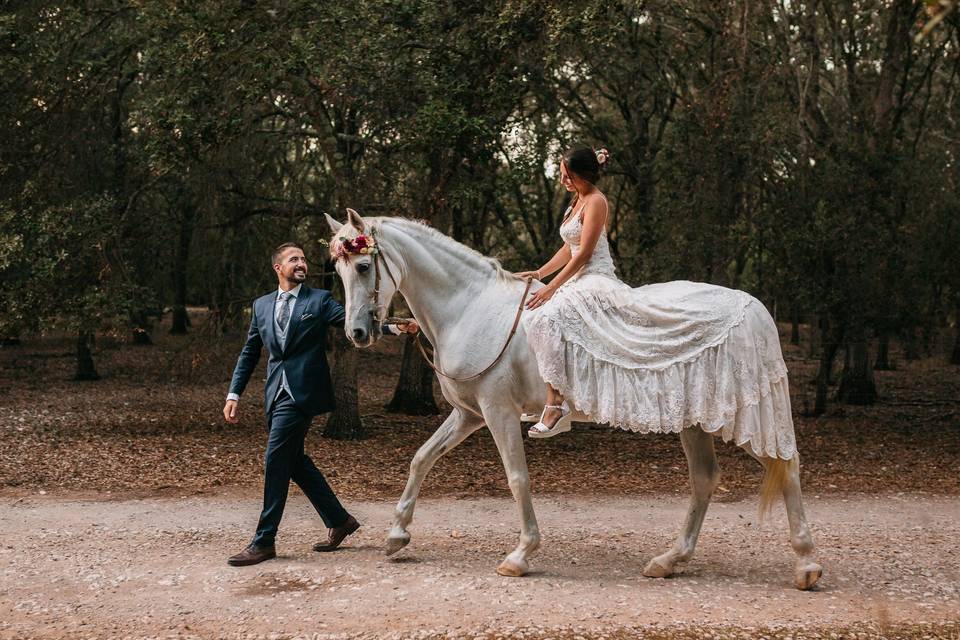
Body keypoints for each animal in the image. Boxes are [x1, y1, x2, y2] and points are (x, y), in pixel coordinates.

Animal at [326, 210, 820, 592]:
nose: (357, 333)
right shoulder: (468, 414)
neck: (472, 308)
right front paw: (397, 535)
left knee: (788, 467)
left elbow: (517, 479)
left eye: (365, 267)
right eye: (340, 272)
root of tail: (754, 308)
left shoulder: (498, 413)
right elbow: (421, 459)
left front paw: (521, 554)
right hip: (694, 422)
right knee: (705, 479)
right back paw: (668, 561)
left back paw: (807, 565)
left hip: (738, 415)